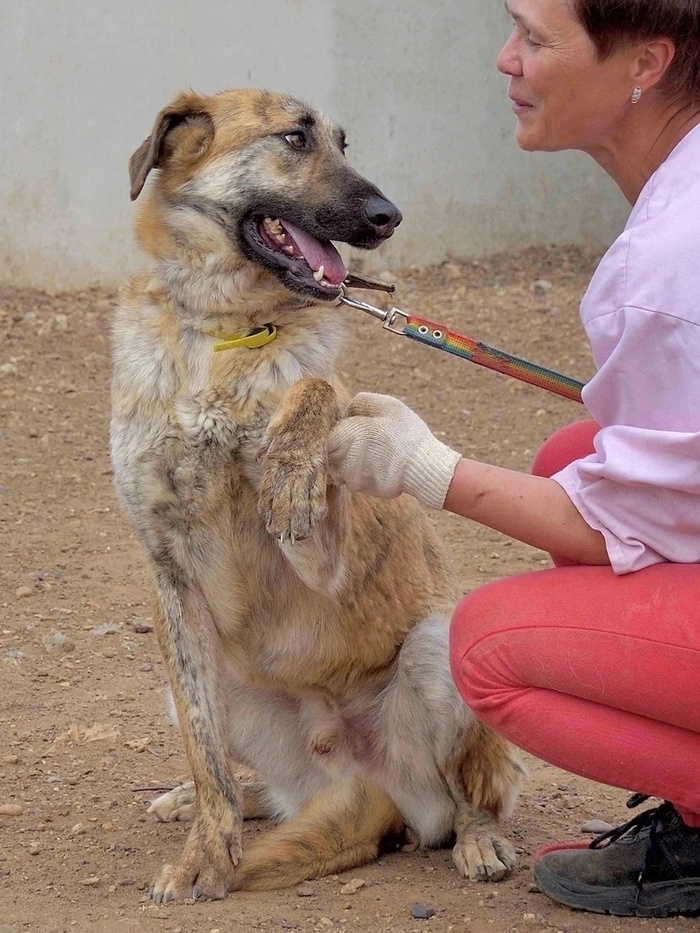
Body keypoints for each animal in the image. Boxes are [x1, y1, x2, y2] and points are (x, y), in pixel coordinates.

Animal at [110, 87, 525, 903]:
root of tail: (365, 784)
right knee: (244, 780)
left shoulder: (324, 553)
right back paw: (209, 804)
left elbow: (321, 389)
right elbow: (207, 760)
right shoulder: (169, 580)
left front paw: (291, 462)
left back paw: (479, 839)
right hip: (188, 668)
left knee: (476, 792)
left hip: (438, 652)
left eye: (342, 141)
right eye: (295, 139)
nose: (390, 216)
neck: (223, 337)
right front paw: (206, 853)